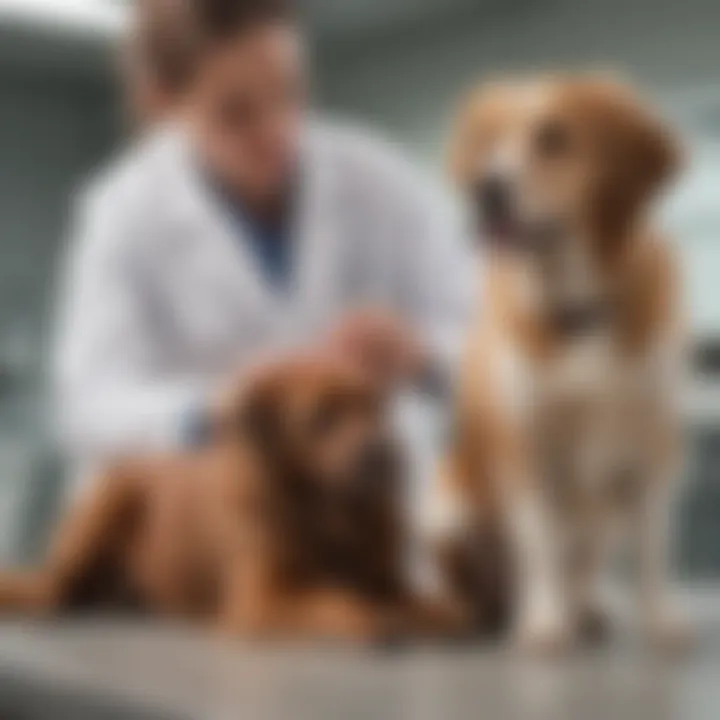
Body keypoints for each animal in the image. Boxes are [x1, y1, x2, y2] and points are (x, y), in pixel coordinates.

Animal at [0, 358, 436, 640]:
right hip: (110, 502)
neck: (329, 515)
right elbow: (334, 600)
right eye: (320, 419)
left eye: (375, 410)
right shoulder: (260, 600)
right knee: (55, 589)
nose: (385, 454)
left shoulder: (384, 577)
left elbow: (418, 600)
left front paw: (430, 613)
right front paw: (373, 615)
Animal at [430, 74, 688, 652]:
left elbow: (653, 548)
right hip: (448, 509)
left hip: (604, 513)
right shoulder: (528, 448)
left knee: (586, 563)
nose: (486, 189)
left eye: (554, 138)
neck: (577, 310)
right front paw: (545, 624)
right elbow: (542, 543)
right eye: (489, 144)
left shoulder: (652, 449)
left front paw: (660, 620)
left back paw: (585, 610)